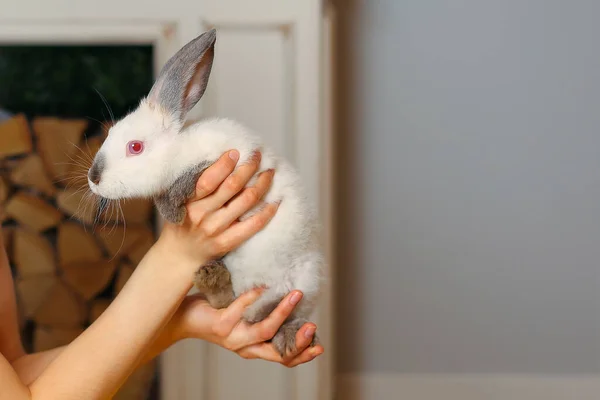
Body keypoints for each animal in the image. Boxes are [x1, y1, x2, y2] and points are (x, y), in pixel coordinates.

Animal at [86, 28, 324, 356]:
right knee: (229, 304)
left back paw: (282, 331)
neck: (177, 151)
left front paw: (172, 212)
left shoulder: (234, 158)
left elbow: (189, 177)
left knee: (284, 308)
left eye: (135, 147)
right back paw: (215, 282)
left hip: (307, 279)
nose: (93, 178)